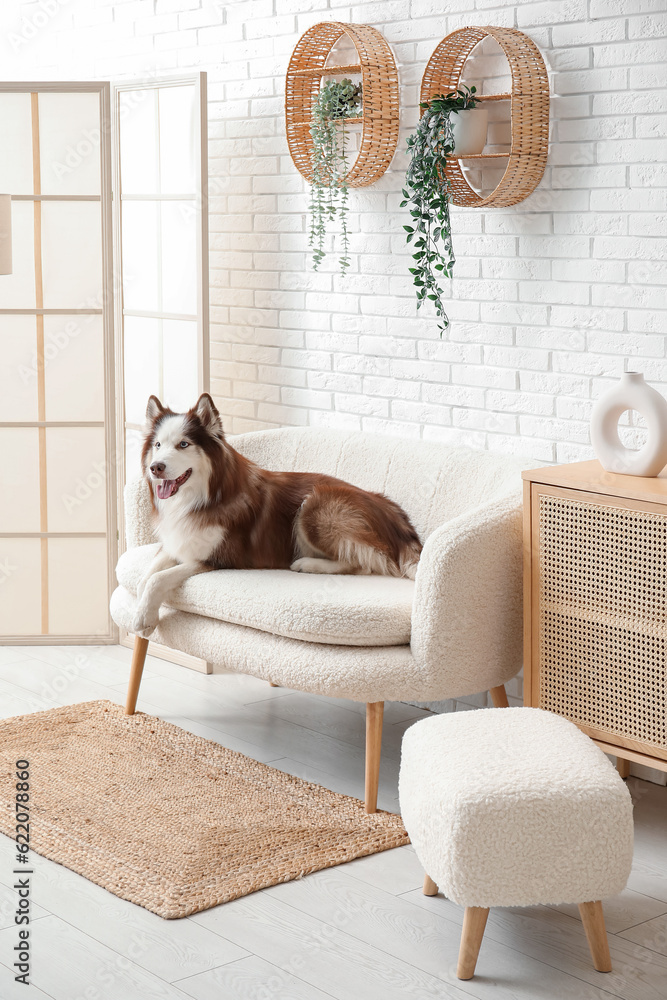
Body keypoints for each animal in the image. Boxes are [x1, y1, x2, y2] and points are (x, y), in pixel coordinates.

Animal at [132, 394, 422, 636]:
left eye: (183, 444)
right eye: (158, 445)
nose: (156, 467)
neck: (201, 498)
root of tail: (391, 511)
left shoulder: (220, 556)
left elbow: (157, 578)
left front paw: (145, 618)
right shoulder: (177, 542)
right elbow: (145, 576)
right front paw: (139, 608)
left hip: (315, 508)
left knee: (362, 563)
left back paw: (308, 564)